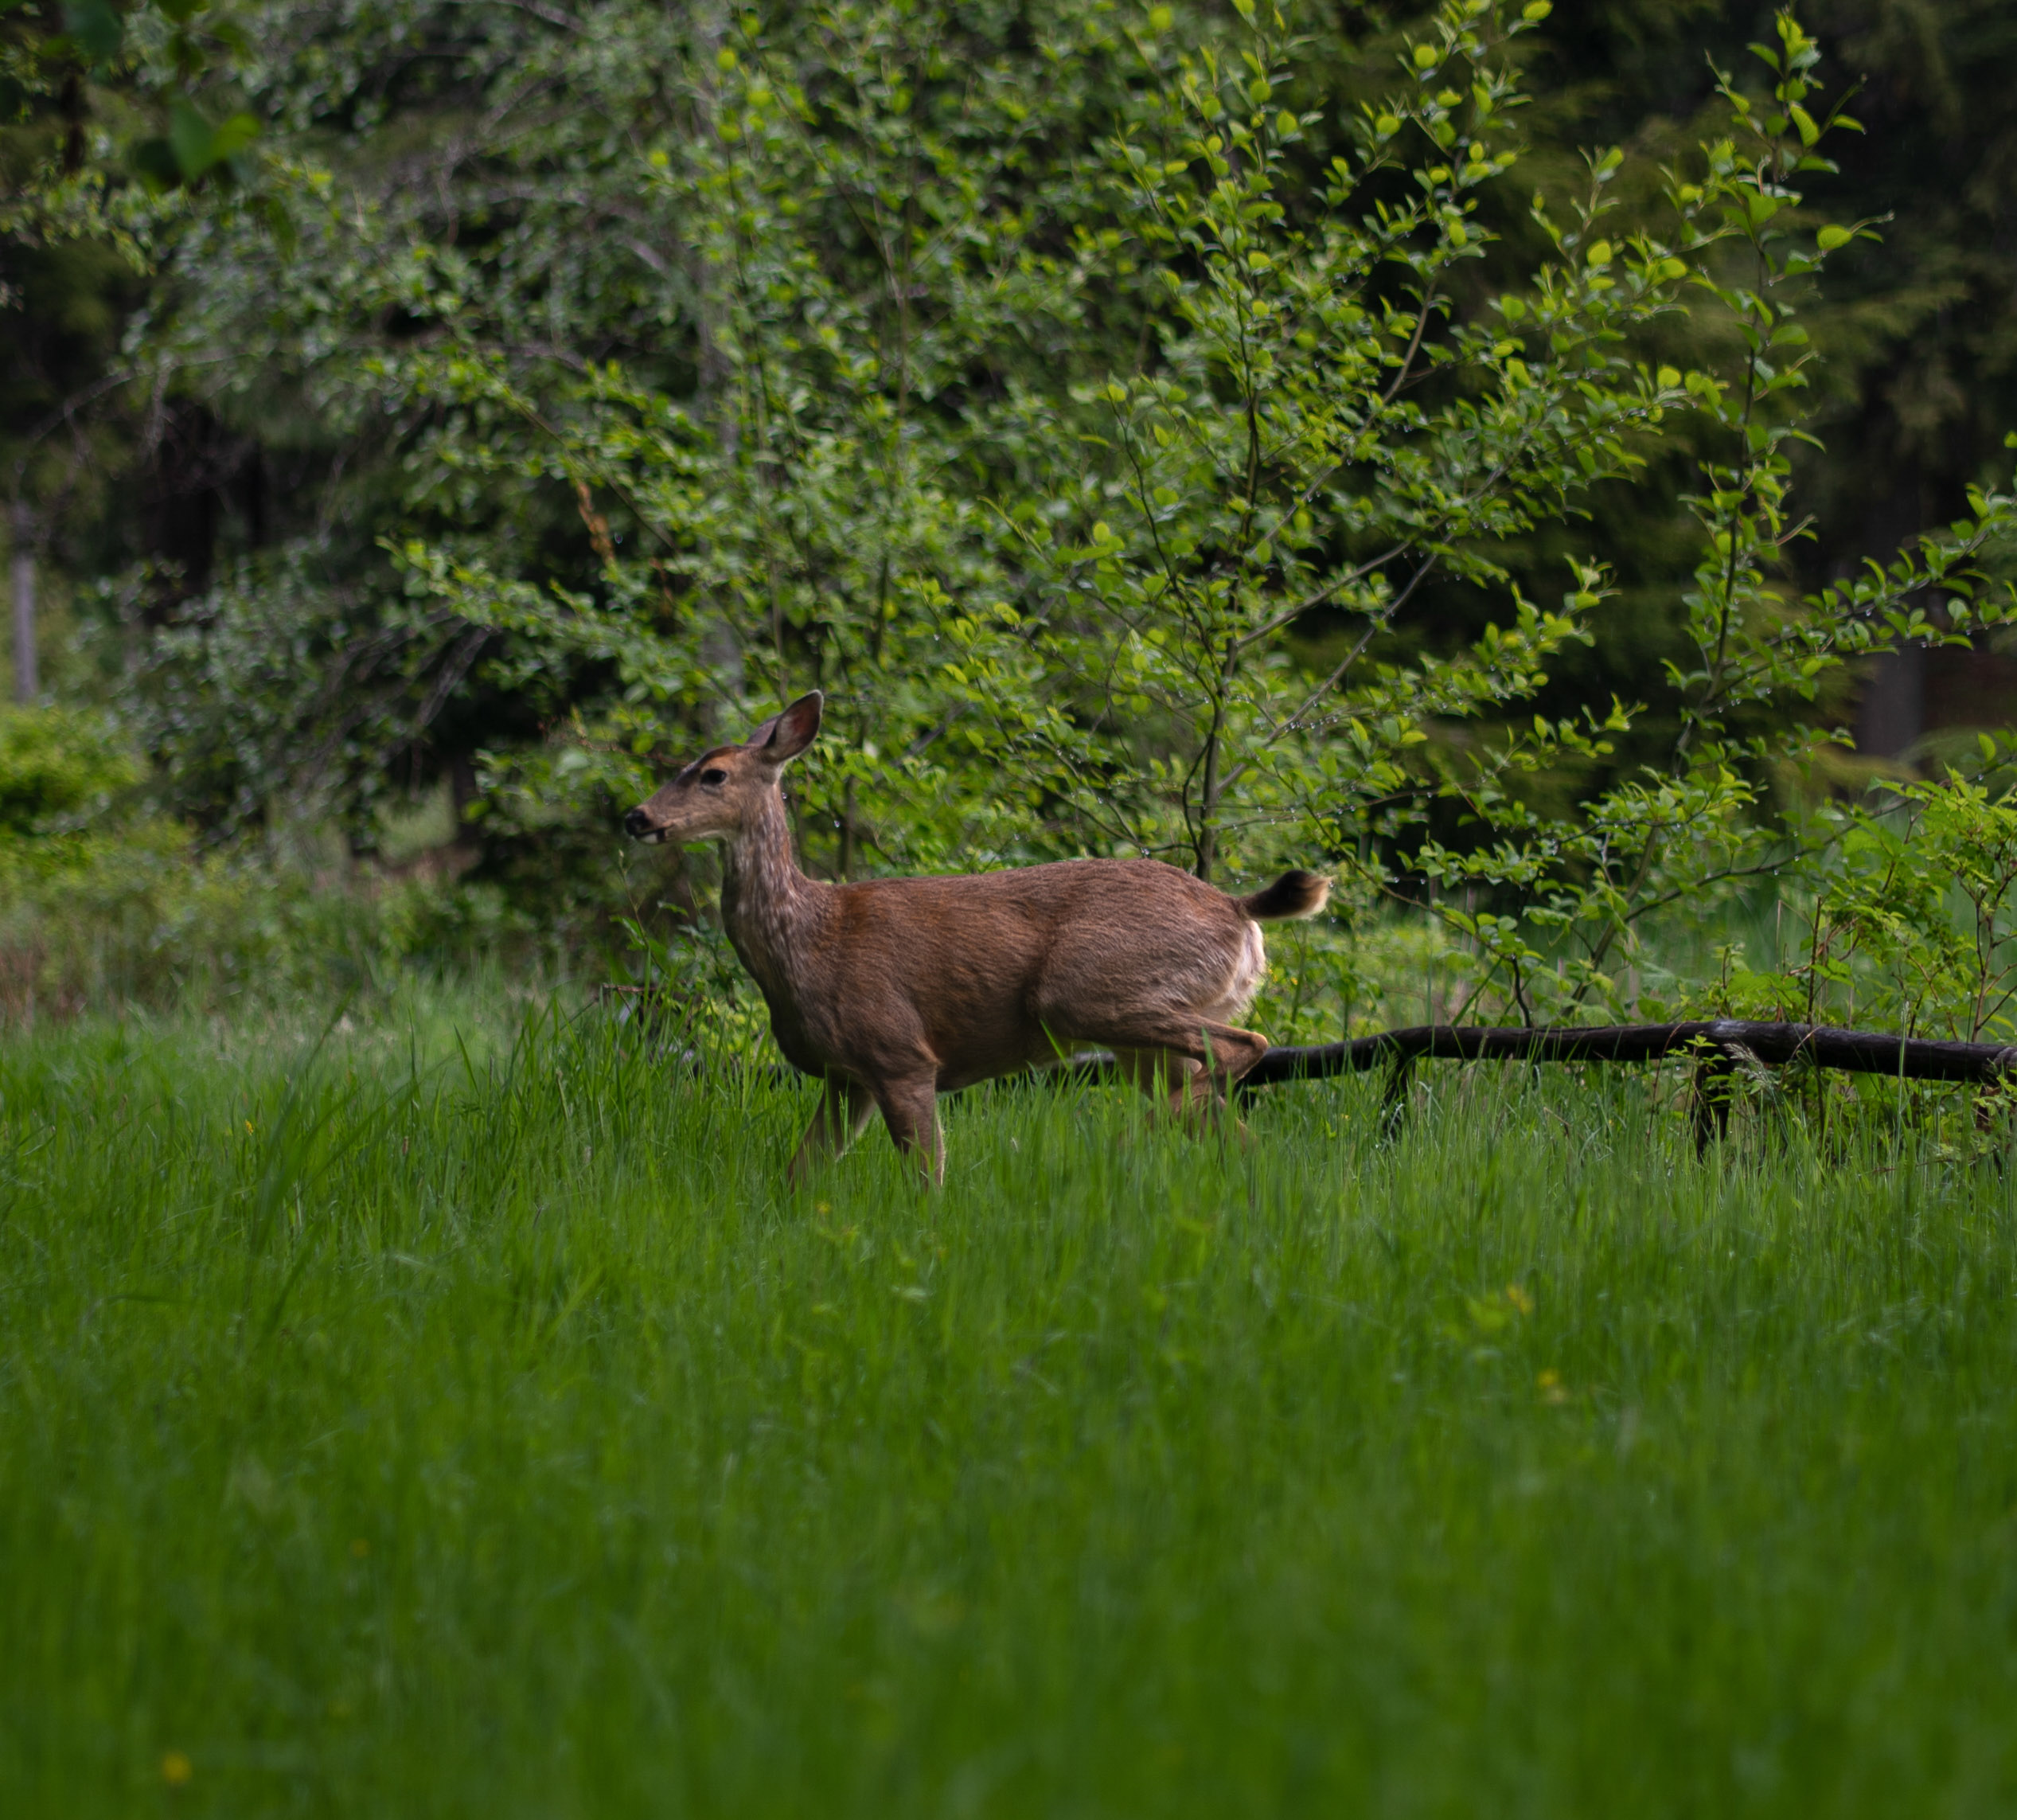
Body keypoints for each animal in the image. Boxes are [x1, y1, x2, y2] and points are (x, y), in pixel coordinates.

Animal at [623, 692, 1330, 1183]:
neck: (808, 941)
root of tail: (1238, 910)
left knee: (1246, 1045)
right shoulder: (846, 1076)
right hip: (1141, 1036)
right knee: (1235, 1123)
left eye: (712, 774)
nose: (637, 816)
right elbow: (800, 1175)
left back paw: (1112, 1151)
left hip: (1089, 990)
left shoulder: (899, 1052)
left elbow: (926, 1178)